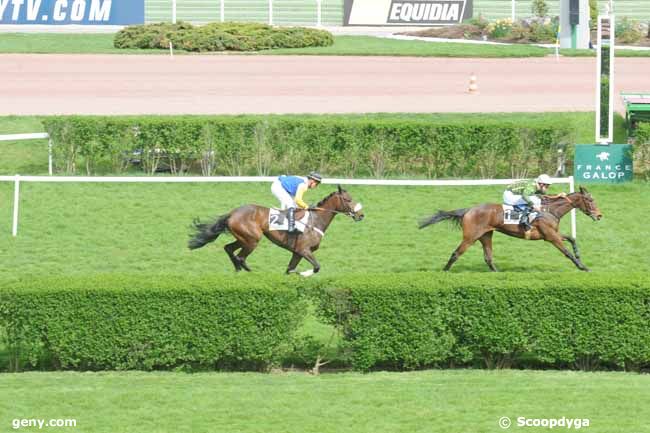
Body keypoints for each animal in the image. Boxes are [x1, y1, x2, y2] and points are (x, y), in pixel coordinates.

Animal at [187, 184, 362, 276]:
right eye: (348, 200)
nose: (361, 215)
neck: (315, 220)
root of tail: (232, 213)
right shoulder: (304, 250)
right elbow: (316, 267)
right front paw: (303, 274)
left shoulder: (297, 252)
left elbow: (290, 269)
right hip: (252, 239)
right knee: (240, 257)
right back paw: (248, 271)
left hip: (243, 238)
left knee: (229, 249)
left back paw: (238, 271)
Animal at [418, 185, 600, 270]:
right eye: (590, 200)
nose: (599, 215)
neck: (549, 210)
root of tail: (468, 210)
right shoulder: (550, 236)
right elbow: (567, 252)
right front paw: (583, 267)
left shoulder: (551, 233)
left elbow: (572, 238)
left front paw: (579, 254)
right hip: (470, 237)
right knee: (456, 254)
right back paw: (444, 271)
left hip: (486, 235)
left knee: (488, 258)